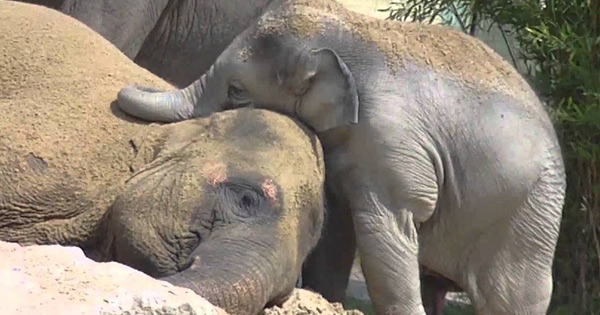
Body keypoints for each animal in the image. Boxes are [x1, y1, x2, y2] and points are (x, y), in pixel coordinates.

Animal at [116, 0, 568, 314]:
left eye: (238, 91)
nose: (120, 95)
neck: (348, 30)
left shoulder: (391, 145)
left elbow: (384, 232)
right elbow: (337, 228)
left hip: (530, 217)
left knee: (513, 293)